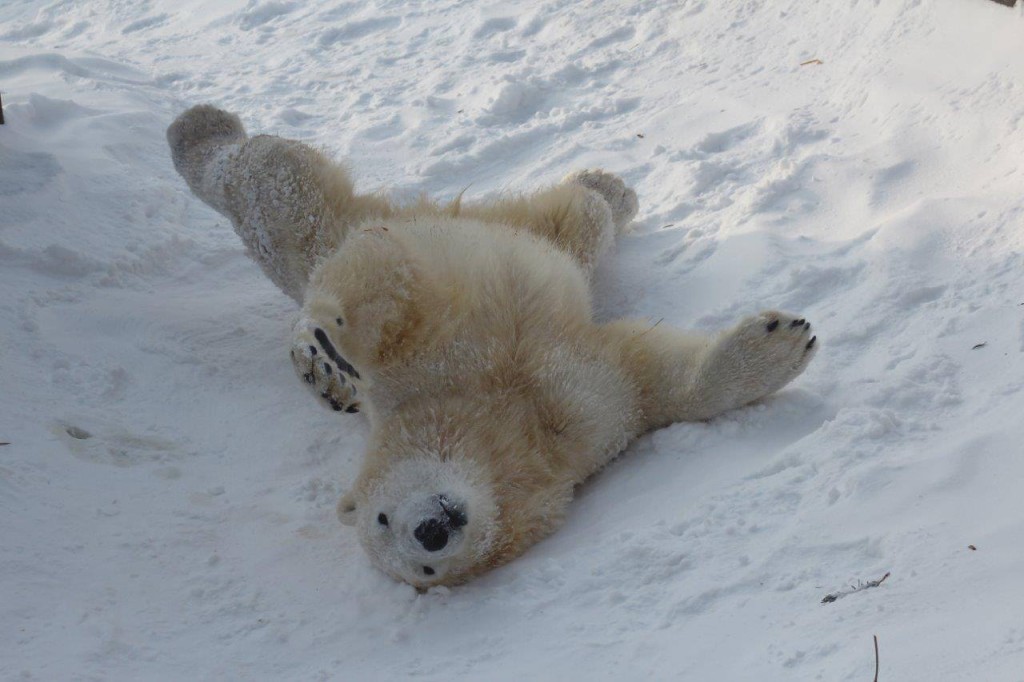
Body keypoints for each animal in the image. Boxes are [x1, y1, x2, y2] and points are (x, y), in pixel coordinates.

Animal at [172, 104, 819, 585]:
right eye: (423, 570)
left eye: (381, 516)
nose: (431, 531)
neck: (493, 418)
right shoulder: (578, 433)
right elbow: (649, 378)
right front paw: (781, 342)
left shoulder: (437, 364)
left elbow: (397, 301)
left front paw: (330, 346)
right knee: (575, 222)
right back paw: (609, 187)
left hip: (337, 231)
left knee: (281, 193)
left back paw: (198, 130)